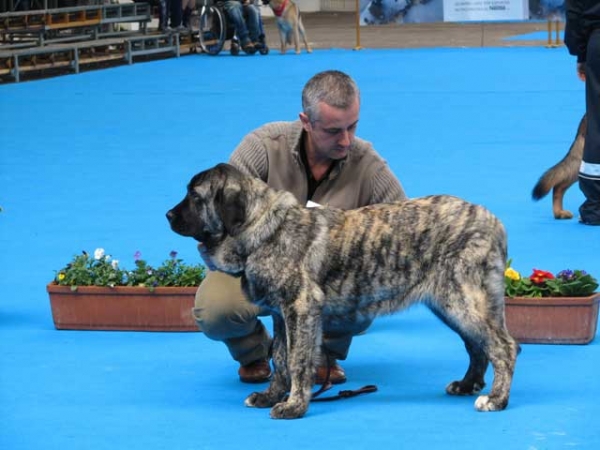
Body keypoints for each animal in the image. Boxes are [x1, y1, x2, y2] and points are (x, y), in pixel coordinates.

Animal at [166, 163, 516, 420]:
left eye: (195, 196)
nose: (168, 215)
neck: (263, 230)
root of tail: (492, 219)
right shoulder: (282, 315)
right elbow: (280, 358)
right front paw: (270, 396)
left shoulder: (301, 308)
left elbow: (298, 359)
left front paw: (294, 406)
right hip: (451, 305)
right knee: (477, 346)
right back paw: (467, 385)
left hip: (462, 300)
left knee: (503, 347)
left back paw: (496, 399)